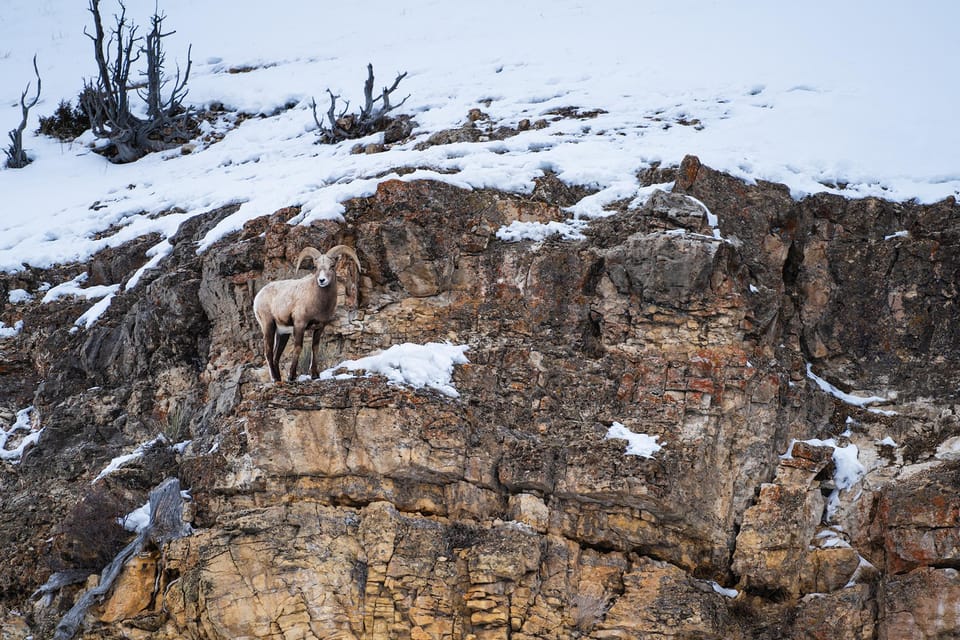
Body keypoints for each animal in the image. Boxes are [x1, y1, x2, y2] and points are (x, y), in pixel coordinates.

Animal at [253, 245, 362, 382]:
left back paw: (278, 379)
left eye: (332, 266)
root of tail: (258, 296)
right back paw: (275, 379)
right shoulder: (300, 325)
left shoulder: (320, 327)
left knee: (276, 356)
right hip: (268, 326)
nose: (322, 280)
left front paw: (315, 375)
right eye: (315, 267)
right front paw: (292, 376)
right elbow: (298, 347)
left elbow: (314, 348)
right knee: (268, 353)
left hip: (282, 334)